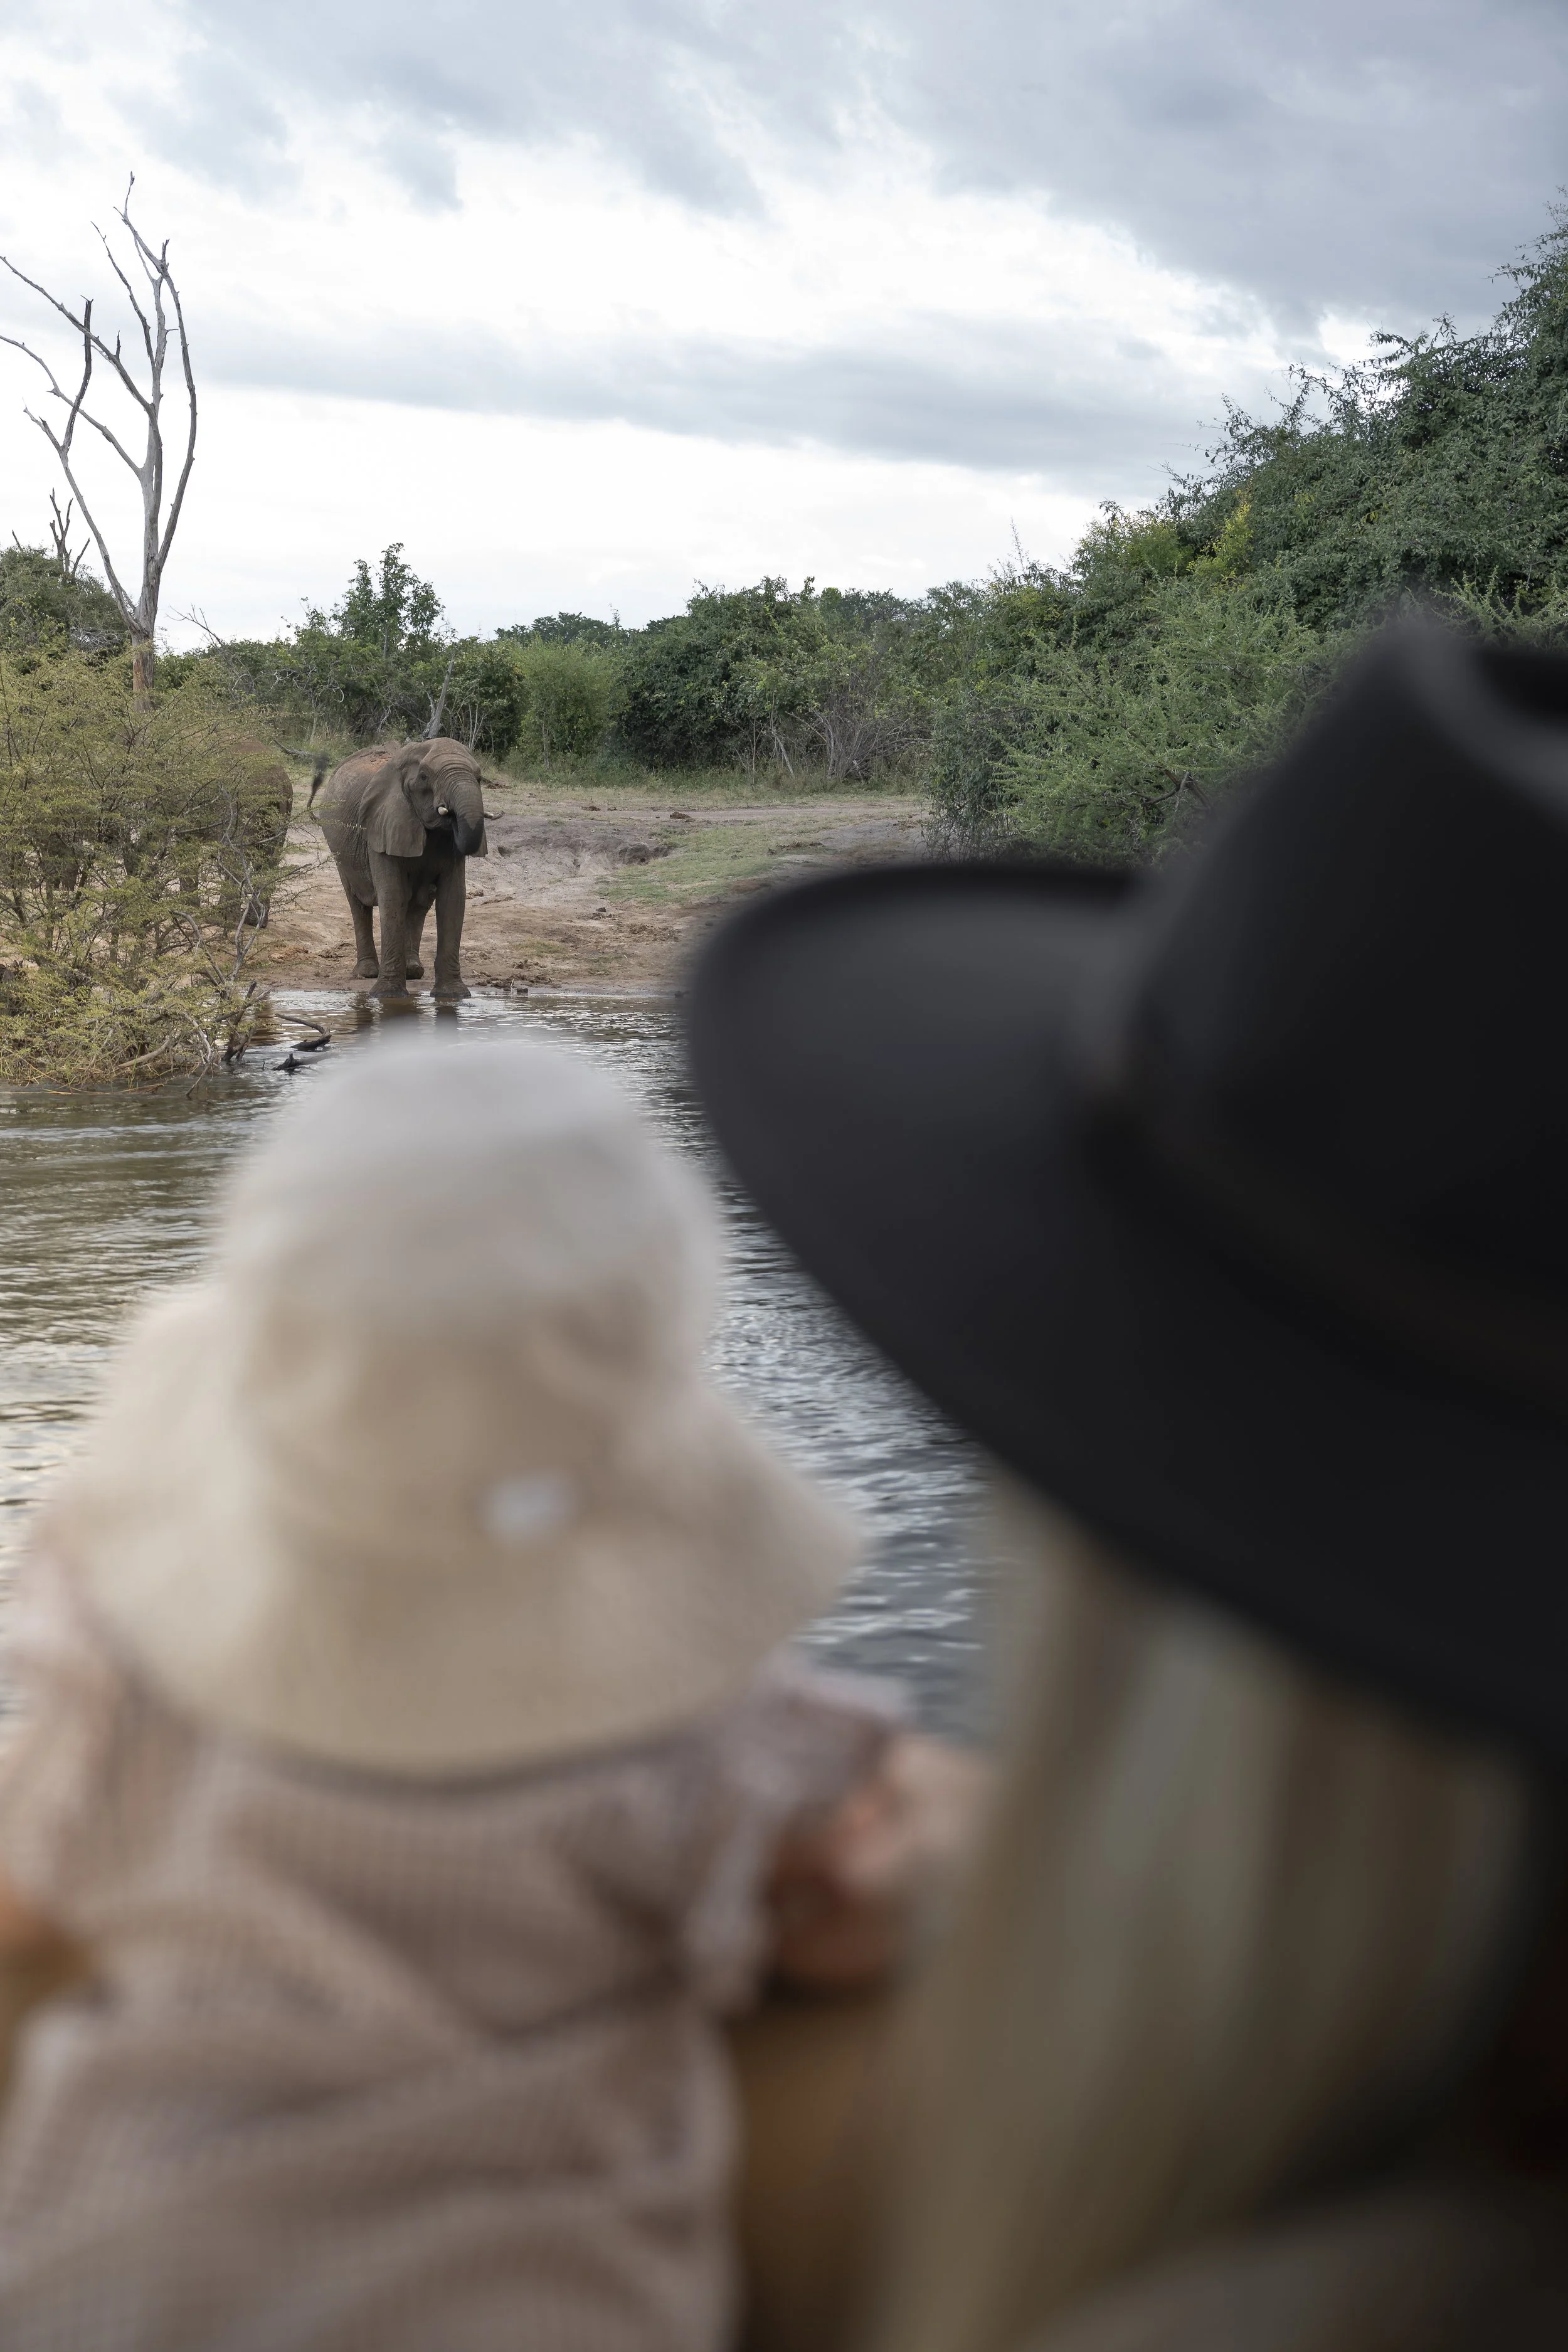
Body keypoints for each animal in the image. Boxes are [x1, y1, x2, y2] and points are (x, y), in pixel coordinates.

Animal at [311, 738, 487, 1000]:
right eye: (424, 777)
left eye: (479, 778)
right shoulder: (381, 824)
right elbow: (393, 895)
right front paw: (388, 997)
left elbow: (453, 899)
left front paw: (453, 997)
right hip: (338, 848)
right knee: (358, 903)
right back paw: (367, 973)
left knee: (419, 904)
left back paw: (413, 971)